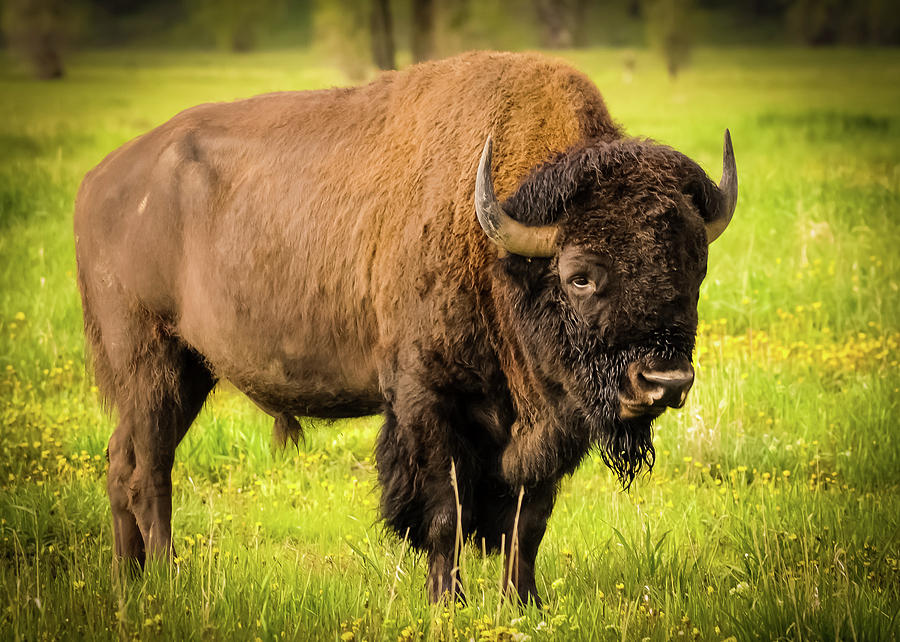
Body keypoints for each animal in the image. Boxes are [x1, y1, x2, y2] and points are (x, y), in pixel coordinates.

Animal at [75, 51, 740, 604]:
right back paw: (166, 578)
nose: (664, 381)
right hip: (152, 362)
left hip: (186, 372)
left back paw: (130, 579)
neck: (496, 247)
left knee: (123, 462)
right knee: (147, 471)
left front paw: (524, 603)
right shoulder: (426, 399)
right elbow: (445, 512)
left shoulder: (547, 425)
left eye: (696, 267)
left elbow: (527, 520)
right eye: (579, 275)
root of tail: (98, 183)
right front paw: (446, 603)